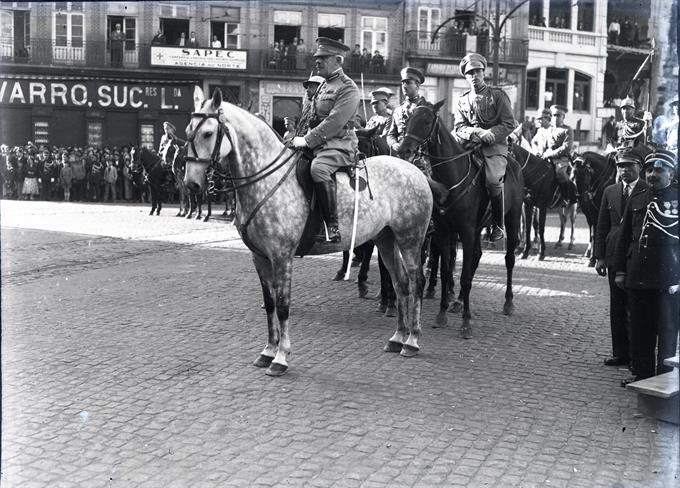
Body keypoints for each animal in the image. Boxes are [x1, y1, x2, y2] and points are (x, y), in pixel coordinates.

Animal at [398, 99, 520, 340]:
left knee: (509, 259)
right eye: (409, 118)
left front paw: (466, 323)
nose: (404, 149)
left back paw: (508, 303)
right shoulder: (445, 232)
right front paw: (442, 314)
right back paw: (460, 300)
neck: (450, 180)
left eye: (426, 121)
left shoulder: (465, 231)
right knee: (477, 257)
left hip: (512, 219)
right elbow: (446, 272)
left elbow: (462, 276)